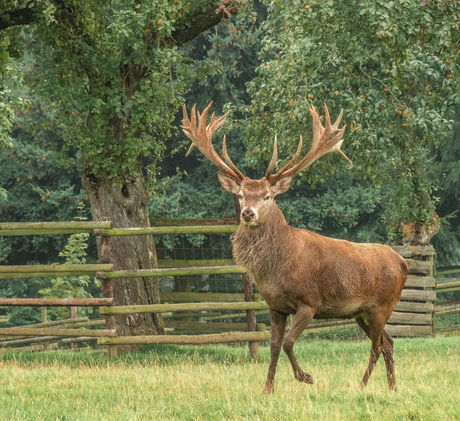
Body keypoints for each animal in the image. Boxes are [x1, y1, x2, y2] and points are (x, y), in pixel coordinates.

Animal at [181, 101, 408, 394]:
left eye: (267, 196)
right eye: (240, 195)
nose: (247, 213)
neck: (277, 270)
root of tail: (402, 262)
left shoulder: (309, 301)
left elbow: (289, 342)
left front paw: (306, 377)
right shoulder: (275, 306)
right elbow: (274, 346)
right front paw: (267, 388)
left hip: (383, 304)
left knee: (377, 346)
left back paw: (362, 385)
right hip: (361, 312)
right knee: (388, 342)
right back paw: (391, 387)